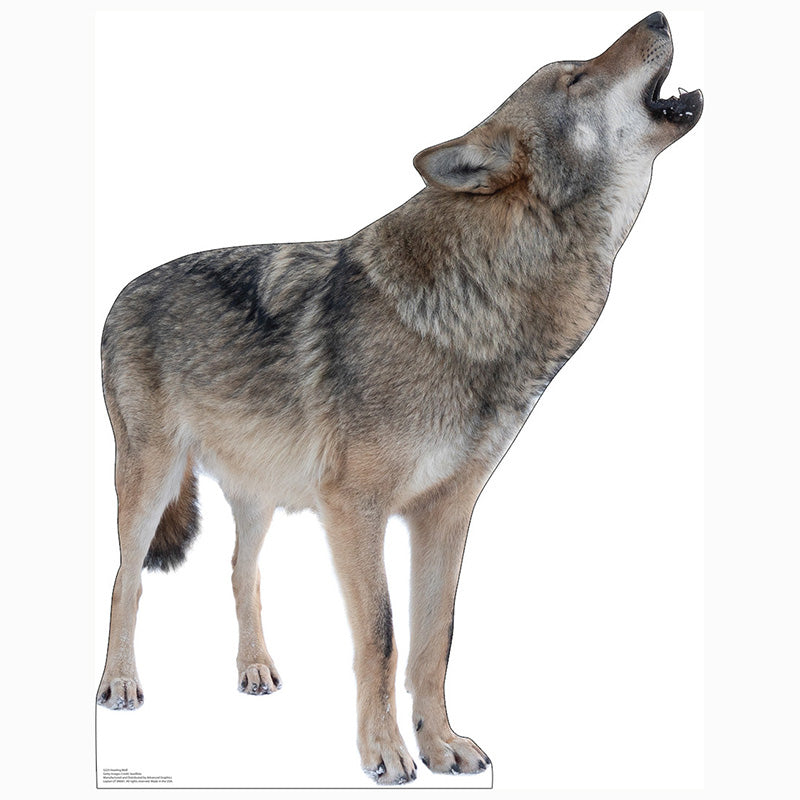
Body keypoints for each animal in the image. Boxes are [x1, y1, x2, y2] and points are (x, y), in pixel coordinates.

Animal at [97, 11, 702, 785]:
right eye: (573, 77)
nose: (659, 16)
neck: (486, 298)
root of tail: (125, 288)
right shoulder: (355, 509)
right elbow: (382, 638)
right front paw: (385, 753)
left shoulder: (445, 513)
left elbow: (435, 640)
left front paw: (441, 744)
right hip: (152, 480)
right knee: (126, 579)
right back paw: (119, 683)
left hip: (259, 496)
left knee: (241, 571)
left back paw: (255, 668)